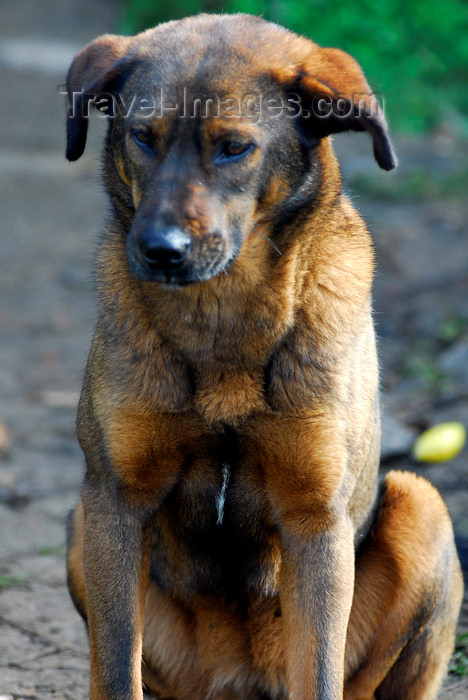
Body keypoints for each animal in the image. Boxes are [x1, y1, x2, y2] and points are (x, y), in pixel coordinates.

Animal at [64, 12, 462, 700]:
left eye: (234, 147)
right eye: (142, 137)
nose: (160, 249)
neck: (224, 316)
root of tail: (238, 676)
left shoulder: (315, 519)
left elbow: (320, 673)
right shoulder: (114, 500)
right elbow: (115, 669)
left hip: (423, 507)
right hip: (79, 528)